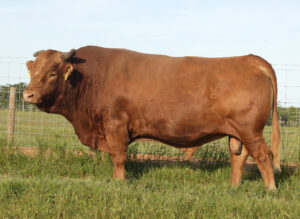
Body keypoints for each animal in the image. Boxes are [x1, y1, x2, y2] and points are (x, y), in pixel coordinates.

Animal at [24, 45, 282, 190]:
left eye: (52, 73)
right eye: (33, 71)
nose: (28, 94)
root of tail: (251, 59)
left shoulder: (115, 125)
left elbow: (119, 157)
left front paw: (119, 182)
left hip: (250, 129)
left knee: (263, 155)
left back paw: (270, 190)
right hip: (237, 132)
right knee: (239, 157)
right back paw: (232, 187)